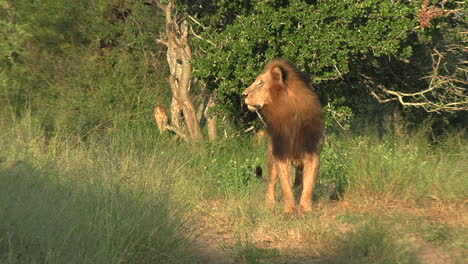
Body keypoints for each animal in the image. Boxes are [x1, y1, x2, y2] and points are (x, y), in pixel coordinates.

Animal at [241, 58, 326, 214]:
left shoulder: (313, 154)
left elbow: (308, 185)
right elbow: (285, 187)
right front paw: (290, 211)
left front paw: (305, 209)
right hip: (271, 157)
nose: (243, 95)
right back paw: (269, 205)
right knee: (271, 183)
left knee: (298, 182)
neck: (290, 115)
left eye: (261, 83)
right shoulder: (280, 155)